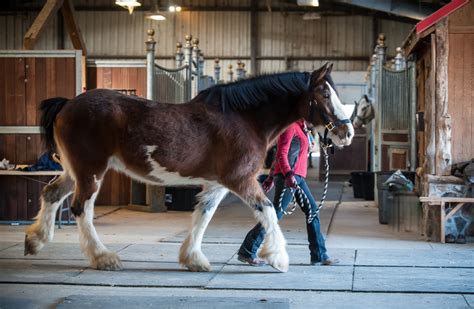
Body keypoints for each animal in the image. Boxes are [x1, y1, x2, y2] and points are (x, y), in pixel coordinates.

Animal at [25, 62, 352, 272]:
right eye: (325, 94)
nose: (346, 133)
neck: (245, 118)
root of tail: (67, 104)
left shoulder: (218, 184)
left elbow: (203, 216)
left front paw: (193, 259)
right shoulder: (241, 180)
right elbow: (268, 211)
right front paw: (279, 258)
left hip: (75, 171)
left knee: (52, 194)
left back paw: (35, 241)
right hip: (92, 171)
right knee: (81, 208)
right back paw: (103, 258)